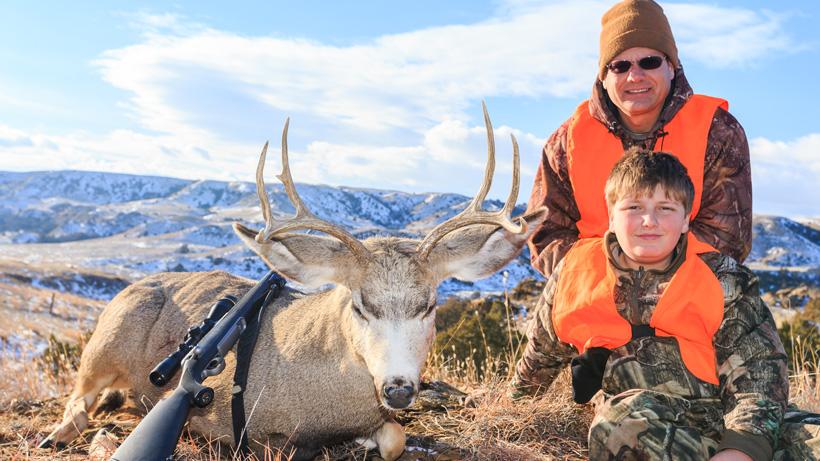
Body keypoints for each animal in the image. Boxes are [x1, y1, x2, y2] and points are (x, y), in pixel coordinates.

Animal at [39, 104, 547, 460]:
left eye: (430, 305)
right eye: (360, 305)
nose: (399, 388)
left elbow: (395, 437)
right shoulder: (251, 428)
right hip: (103, 343)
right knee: (76, 405)